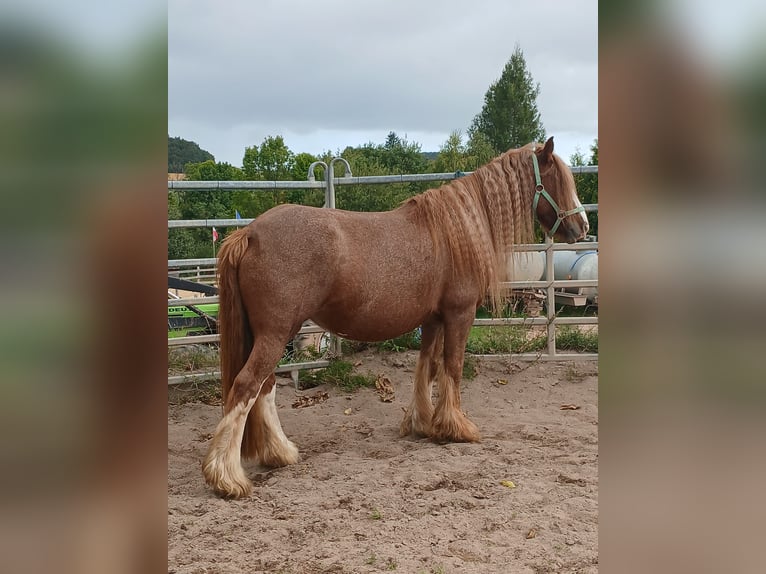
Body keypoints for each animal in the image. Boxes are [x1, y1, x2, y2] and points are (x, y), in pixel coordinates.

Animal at [202, 138, 588, 500]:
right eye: (557, 178)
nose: (582, 226)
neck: (458, 230)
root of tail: (249, 234)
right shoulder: (459, 314)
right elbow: (453, 367)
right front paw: (458, 428)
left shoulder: (432, 319)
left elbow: (427, 368)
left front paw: (423, 423)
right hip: (276, 334)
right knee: (247, 386)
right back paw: (227, 477)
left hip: (272, 335)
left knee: (264, 388)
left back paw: (280, 453)